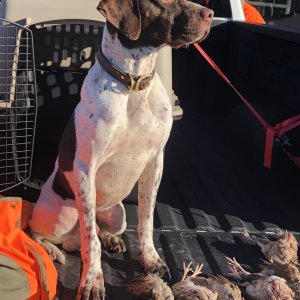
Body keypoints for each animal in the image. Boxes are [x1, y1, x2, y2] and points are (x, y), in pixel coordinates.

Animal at [28, 1, 213, 298]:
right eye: (162, 2)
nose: (209, 14)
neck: (134, 84)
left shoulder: (155, 162)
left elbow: (146, 220)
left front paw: (150, 259)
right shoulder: (85, 168)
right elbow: (90, 241)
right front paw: (92, 281)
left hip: (118, 216)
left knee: (99, 229)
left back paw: (111, 239)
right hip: (61, 215)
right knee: (41, 231)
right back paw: (51, 249)